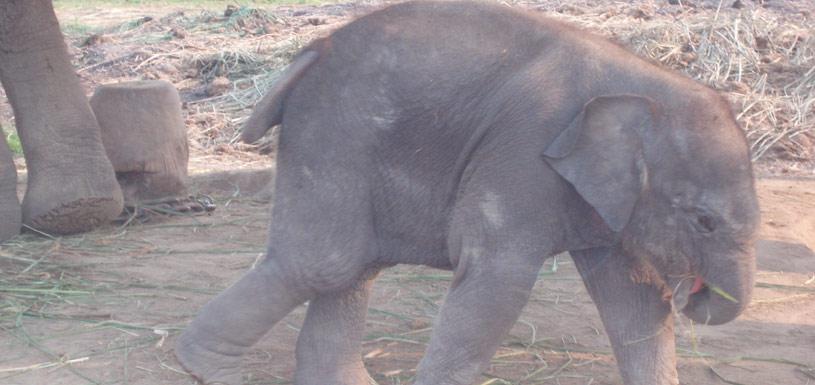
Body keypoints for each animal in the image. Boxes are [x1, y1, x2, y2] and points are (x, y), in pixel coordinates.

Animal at [177, 1, 760, 382]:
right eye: (704, 220)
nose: (694, 294)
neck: (644, 84)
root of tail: (311, 51)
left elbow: (631, 296)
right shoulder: (523, 151)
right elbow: (497, 280)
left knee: (353, 267)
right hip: (334, 131)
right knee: (323, 263)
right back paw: (201, 369)